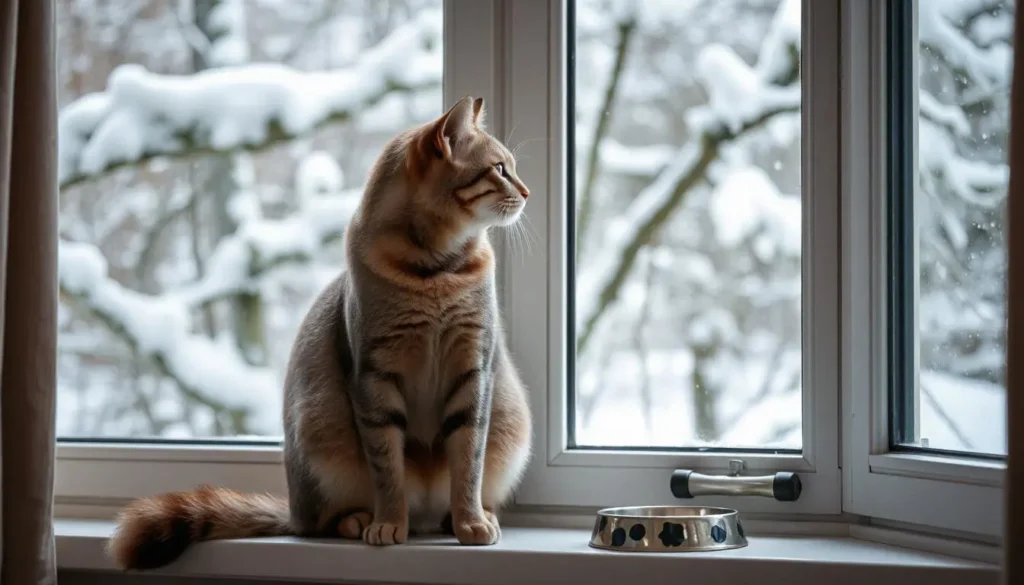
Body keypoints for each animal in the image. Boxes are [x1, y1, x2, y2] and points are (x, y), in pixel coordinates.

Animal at [104, 97, 536, 573]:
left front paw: (470, 521)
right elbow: (388, 468)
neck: (436, 271)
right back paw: (363, 521)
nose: (527, 192)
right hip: (320, 435)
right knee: (321, 523)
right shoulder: (373, 377)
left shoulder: (474, 371)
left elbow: (468, 463)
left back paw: (473, 516)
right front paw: (389, 522)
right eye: (499, 168)